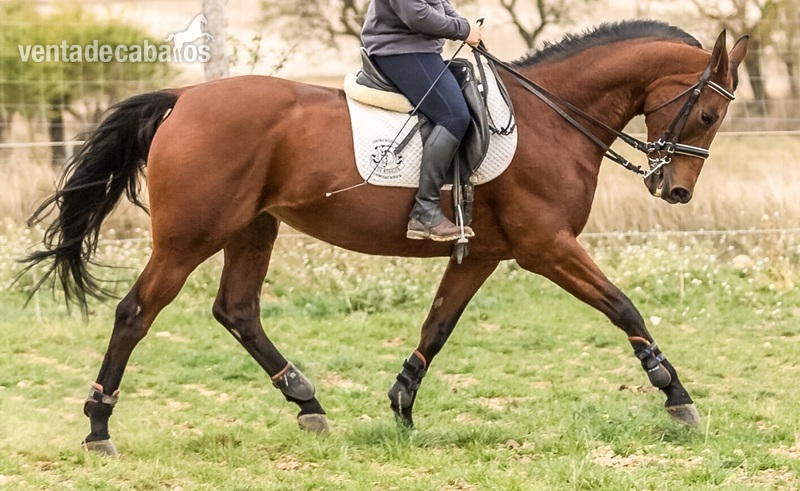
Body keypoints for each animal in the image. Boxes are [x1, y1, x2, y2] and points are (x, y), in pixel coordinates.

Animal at [24, 20, 748, 457]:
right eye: (709, 113)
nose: (675, 191)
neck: (551, 117)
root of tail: (183, 98)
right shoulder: (547, 246)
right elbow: (624, 306)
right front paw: (676, 395)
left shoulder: (485, 254)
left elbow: (437, 325)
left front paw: (401, 403)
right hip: (188, 238)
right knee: (135, 312)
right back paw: (98, 427)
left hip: (253, 228)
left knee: (237, 310)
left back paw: (307, 401)